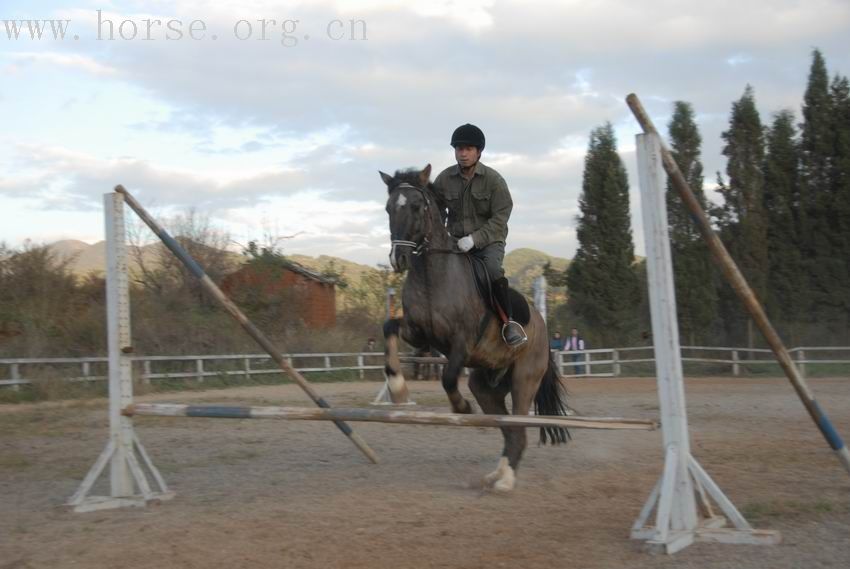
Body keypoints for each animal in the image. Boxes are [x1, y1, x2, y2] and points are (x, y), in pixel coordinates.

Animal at [380, 162, 568, 490]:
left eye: (416, 206)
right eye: (389, 208)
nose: (398, 258)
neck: (433, 273)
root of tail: (543, 328)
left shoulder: (462, 342)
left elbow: (447, 377)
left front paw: (461, 409)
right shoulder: (418, 334)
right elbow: (389, 328)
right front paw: (399, 389)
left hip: (524, 380)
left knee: (518, 428)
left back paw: (506, 481)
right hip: (486, 386)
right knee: (509, 431)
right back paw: (498, 474)